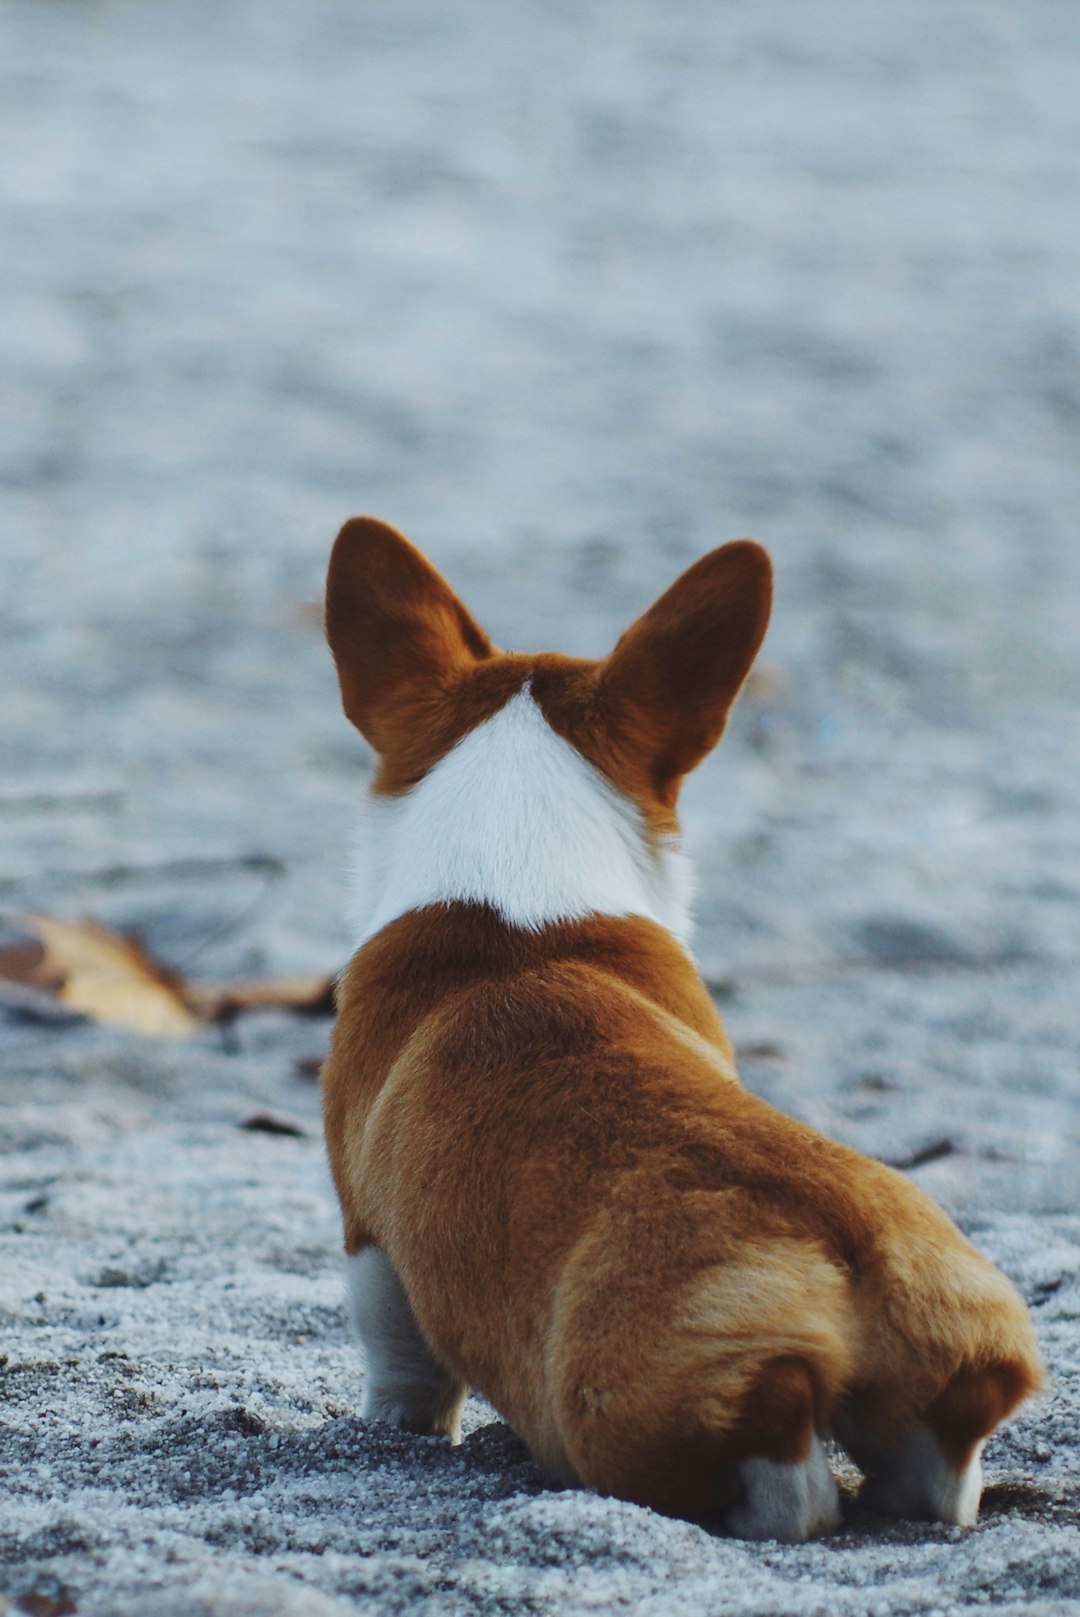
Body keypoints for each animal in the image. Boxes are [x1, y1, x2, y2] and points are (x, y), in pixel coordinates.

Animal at [323, 517, 1047, 1539]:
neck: (517, 897)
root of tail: (845, 1245)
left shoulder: (370, 1240)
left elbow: (404, 1367)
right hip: (957, 1354)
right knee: (940, 1461)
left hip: (639, 1410)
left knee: (778, 1481)